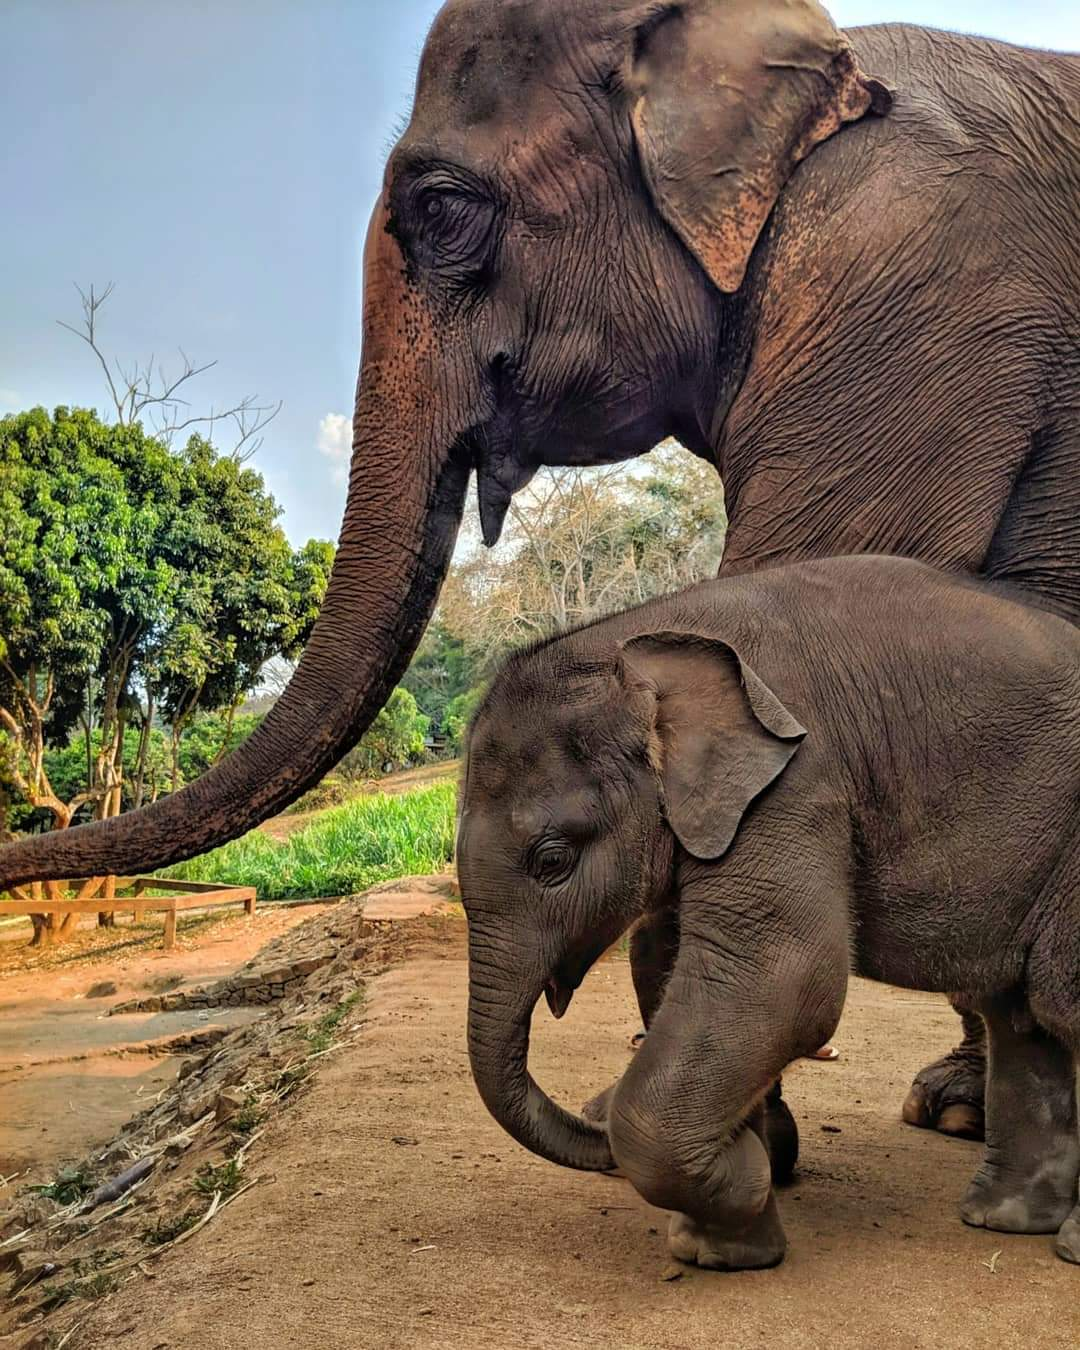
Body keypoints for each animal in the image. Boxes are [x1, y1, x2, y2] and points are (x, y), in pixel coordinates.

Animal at [455, 554, 1080, 1270]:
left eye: (552, 859)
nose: (592, 1118)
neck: (637, 640)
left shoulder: (796, 783)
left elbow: (784, 982)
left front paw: (743, 1184)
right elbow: (681, 970)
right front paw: (723, 1246)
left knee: (1058, 1001)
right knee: (1020, 1014)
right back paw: (1002, 1221)